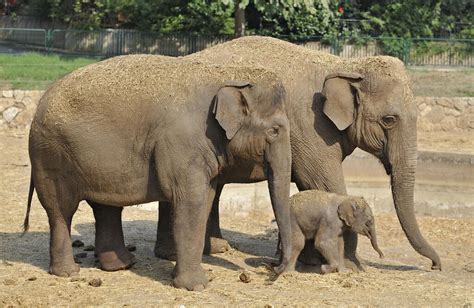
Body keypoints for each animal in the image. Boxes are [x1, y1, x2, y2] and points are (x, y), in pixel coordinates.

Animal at [156, 35, 440, 270]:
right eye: (389, 120)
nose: (435, 266)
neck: (347, 65)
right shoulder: (310, 128)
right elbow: (325, 183)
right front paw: (350, 265)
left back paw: (212, 249)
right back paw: (180, 254)